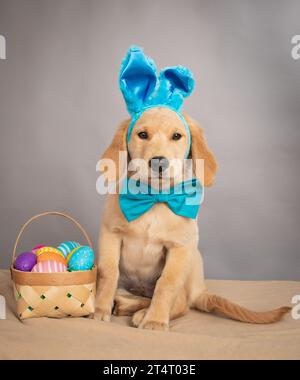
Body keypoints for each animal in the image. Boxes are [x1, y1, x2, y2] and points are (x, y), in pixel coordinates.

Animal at [94, 107, 290, 330]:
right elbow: (108, 272)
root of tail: (200, 290)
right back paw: (124, 303)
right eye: (142, 134)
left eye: (176, 136)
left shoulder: (180, 248)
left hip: (191, 258)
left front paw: (155, 320)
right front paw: (99, 309)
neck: (154, 199)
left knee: (181, 304)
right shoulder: (110, 233)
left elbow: (166, 284)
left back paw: (142, 313)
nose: (159, 162)